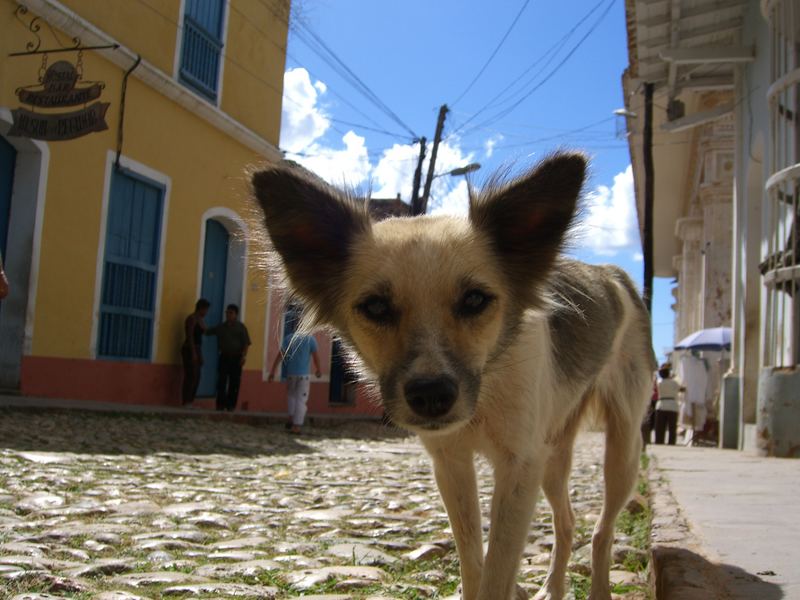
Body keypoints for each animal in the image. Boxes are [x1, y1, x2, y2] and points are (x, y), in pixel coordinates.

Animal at [252, 151, 656, 600]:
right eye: (375, 307)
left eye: (475, 300)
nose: (431, 396)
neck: (488, 385)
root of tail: (613, 274)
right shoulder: (452, 463)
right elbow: (474, 559)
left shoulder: (519, 466)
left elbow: (497, 571)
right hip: (552, 454)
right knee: (566, 522)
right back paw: (551, 587)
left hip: (622, 449)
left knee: (602, 531)